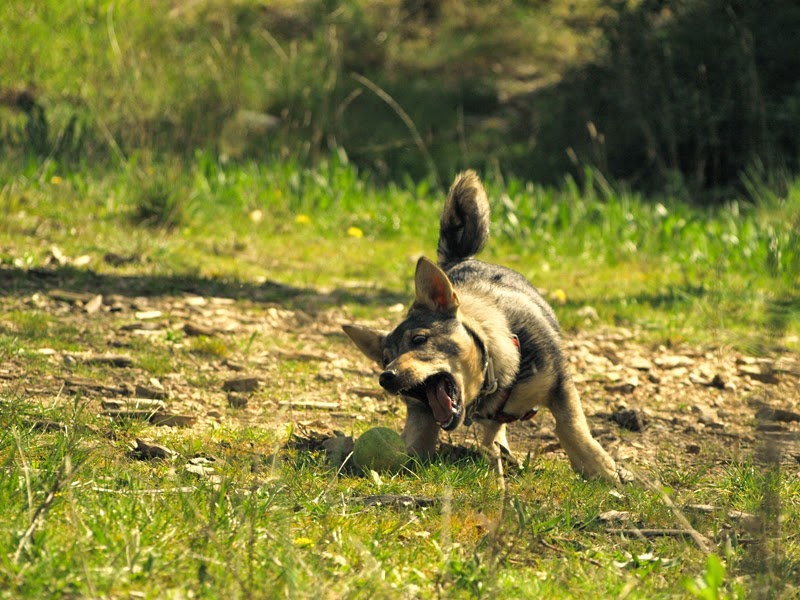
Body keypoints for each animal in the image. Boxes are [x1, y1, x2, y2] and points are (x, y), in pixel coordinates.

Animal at [344, 171, 620, 480]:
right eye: (384, 359)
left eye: (419, 340)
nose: (386, 377)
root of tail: (460, 259)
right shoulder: (421, 410)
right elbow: (419, 437)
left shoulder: (560, 383)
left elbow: (571, 426)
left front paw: (600, 467)